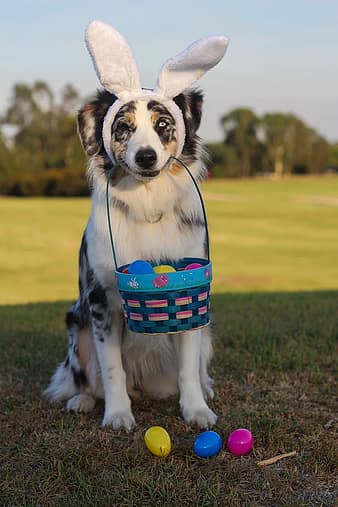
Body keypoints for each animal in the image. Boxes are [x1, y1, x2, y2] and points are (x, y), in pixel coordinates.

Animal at [43, 20, 228, 432]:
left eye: (163, 125)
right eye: (123, 128)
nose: (145, 157)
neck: (147, 204)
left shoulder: (190, 294)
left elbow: (188, 369)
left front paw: (196, 410)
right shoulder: (100, 301)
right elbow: (112, 369)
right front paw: (117, 414)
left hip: (208, 334)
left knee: (197, 367)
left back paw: (206, 389)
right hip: (76, 326)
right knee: (84, 377)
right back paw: (82, 399)